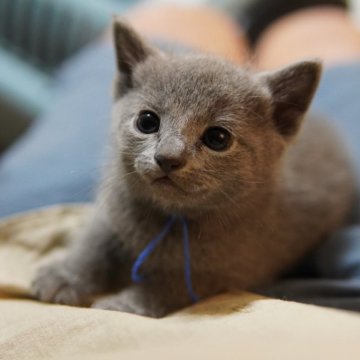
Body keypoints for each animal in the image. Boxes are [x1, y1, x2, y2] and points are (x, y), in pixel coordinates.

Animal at [32, 20, 356, 318]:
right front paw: (62, 278)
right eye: (147, 121)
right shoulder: (111, 212)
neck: (169, 219)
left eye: (217, 138)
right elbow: (94, 245)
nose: (167, 157)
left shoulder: (228, 271)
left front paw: (125, 304)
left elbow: (168, 284)